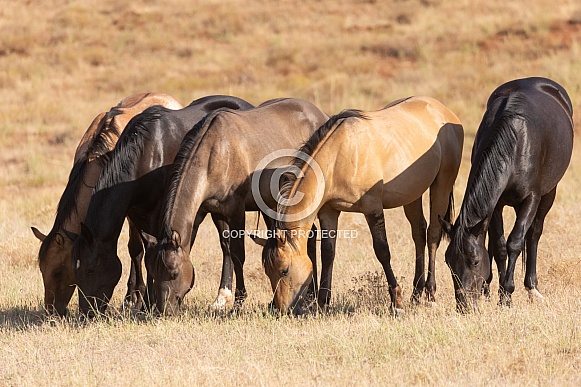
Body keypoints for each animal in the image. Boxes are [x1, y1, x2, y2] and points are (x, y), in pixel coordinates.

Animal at [29, 92, 182, 316]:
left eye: (57, 271)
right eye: (41, 268)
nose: (52, 311)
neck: (101, 157)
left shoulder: (132, 211)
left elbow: (136, 250)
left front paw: (137, 296)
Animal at [69, 95, 251, 316]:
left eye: (90, 269)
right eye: (74, 269)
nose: (86, 311)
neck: (147, 152)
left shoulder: (157, 216)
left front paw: (149, 303)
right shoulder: (136, 215)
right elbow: (145, 254)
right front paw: (147, 303)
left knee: (227, 246)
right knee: (226, 244)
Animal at [143, 97, 328, 316]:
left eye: (174, 273)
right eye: (153, 271)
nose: (163, 310)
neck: (216, 153)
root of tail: (320, 114)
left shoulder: (236, 211)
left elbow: (239, 254)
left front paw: (238, 303)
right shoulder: (210, 212)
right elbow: (225, 247)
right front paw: (222, 298)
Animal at [260, 96, 464, 316]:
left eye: (284, 270)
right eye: (268, 271)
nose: (279, 309)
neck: (339, 157)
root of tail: (443, 111)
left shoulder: (372, 209)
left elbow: (382, 251)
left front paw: (396, 301)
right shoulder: (329, 212)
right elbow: (328, 252)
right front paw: (323, 302)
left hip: (442, 183)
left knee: (433, 234)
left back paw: (430, 293)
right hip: (412, 194)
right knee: (418, 232)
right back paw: (416, 294)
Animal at [440, 76, 572, 312]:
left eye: (474, 261)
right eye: (448, 262)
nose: (464, 306)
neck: (516, 143)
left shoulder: (531, 198)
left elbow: (516, 242)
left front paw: (507, 293)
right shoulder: (496, 204)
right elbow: (500, 246)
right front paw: (500, 294)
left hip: (548, 194)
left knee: (534, 234)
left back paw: (532, 288)